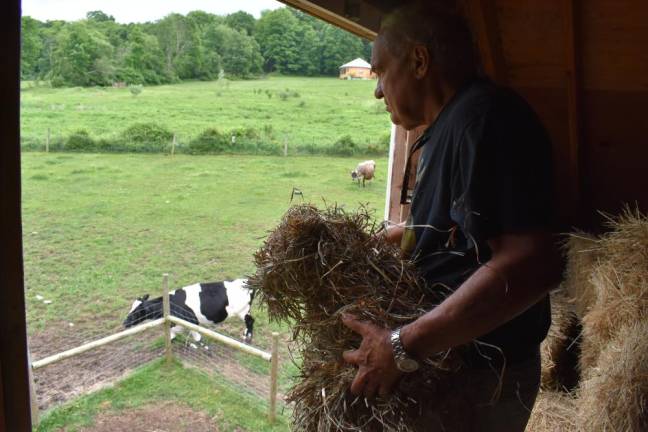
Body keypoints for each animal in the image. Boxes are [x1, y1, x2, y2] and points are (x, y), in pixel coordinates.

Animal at [121, 280, 256, 344]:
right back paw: (245, 334)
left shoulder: (192, 321)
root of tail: (246, 281)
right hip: (245, 311)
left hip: (242, 311)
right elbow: (172, 334)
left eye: (136, 312)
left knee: (250, 321)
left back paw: (247, 337)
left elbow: (197, 338)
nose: (124, 323)